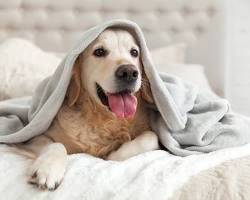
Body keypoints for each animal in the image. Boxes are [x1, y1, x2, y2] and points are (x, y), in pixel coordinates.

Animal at [14, 27, 158, 189]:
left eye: (134, 52)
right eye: (99, 51)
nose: (129, 72)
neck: (103, 119)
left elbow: (152, 137)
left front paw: (113, 154)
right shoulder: (30, 139)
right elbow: (56, 144)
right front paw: (48, 169)